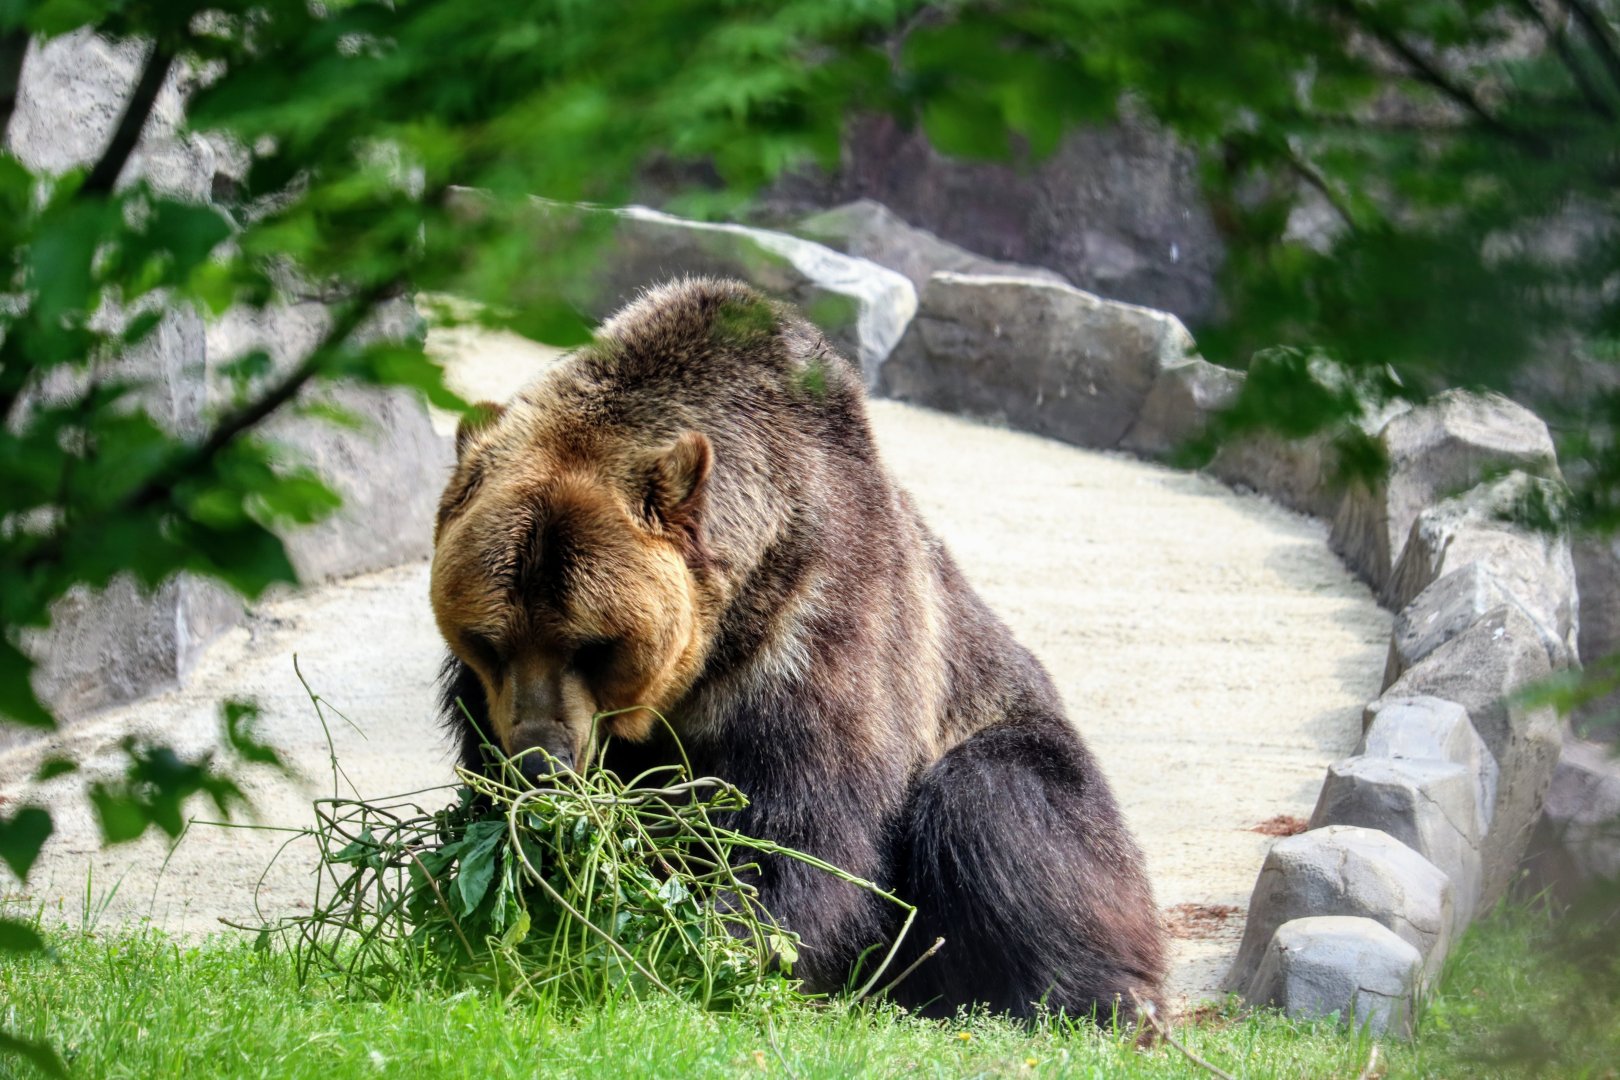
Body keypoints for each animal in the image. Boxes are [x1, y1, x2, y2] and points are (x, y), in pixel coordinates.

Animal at [430, 277, 1166, 1021]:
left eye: (594, 644)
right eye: (489, 641)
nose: (540, 763)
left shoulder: (818, 626)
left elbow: (801, 829)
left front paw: (704, 953)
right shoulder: (483, 697)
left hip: (1022, 741)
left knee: (996, 804)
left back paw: (1104, 1003)